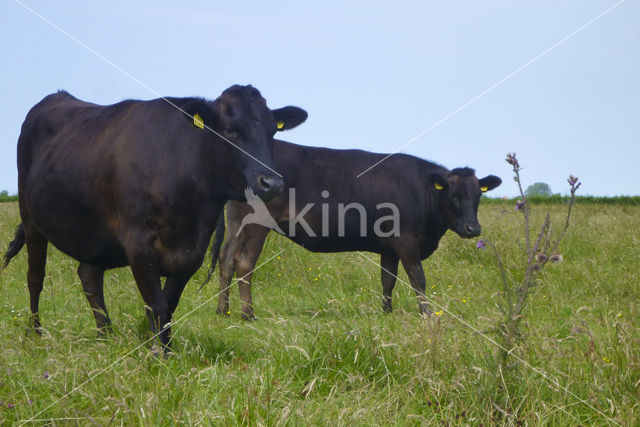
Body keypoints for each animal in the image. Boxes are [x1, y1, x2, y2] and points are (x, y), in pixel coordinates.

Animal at [1, 85, 308, 352]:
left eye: (272, 131)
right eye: (230, 132)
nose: (272, 183)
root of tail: (57, 96)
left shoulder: (193, 251)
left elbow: (168, 305)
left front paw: (164, 347)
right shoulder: (139, 244)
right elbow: (157, 305)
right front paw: (160, 355)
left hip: (93, 232)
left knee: (89, 276)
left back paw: (106, 334)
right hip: (30, 217)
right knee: (35, 276)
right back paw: (36, 332)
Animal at [215, 140, 500, 318]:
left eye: (478, 196)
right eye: (453, 196)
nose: (473, 228)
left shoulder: (390, 247)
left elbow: (388, 279)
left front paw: (387, 312)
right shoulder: (407, 242)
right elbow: (418, 279)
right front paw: (427, 314)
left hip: (237, 222)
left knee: (226, 259)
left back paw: (223, 311)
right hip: (257, 224)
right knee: (244, 263)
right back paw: (248, 314)